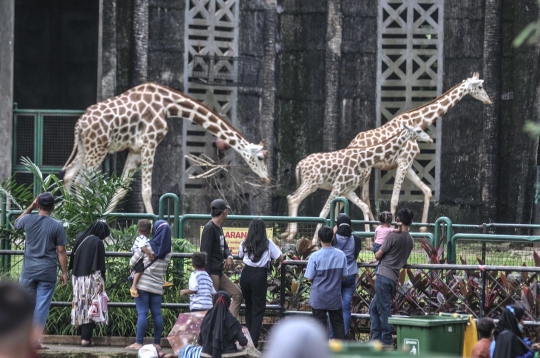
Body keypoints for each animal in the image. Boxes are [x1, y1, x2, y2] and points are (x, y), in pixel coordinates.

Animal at [60, 82, 270, 214]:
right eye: (260, 158)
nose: (266, 179)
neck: (168, 105)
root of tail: (80, 124)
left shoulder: (135, 149)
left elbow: (120, 190)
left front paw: (105, 229)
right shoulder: (149, 142)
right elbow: (146, 191)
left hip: (85, 148)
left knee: (69, 174)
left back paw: (69, 215)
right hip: (98, 148)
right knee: (81, 182)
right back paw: (78, 216)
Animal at [280, 123, 432, 243]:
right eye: (418, 130)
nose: (430, 139)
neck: (362, 159)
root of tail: (299, 164)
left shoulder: (348, 190)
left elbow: (363, 207)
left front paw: (369, 240)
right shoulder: (338, 185)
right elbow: (323, 213)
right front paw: (315, 242)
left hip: (309, 183)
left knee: (290, 197)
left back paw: (289, 234)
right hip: (311, 183)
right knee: (293, 198)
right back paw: (291, 235)